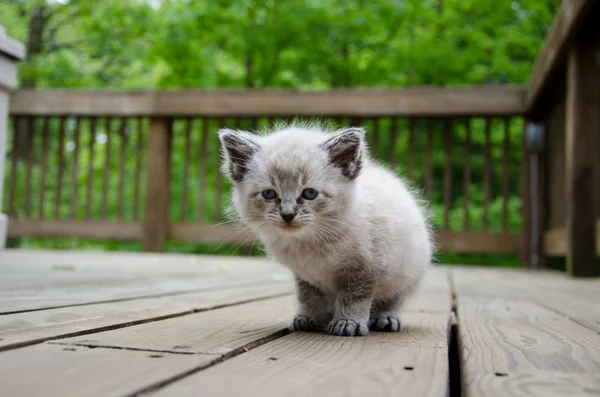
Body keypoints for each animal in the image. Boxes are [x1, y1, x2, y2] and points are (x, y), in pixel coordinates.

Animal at [218, 122, 434, 336]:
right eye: (269, 194)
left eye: (310, 193)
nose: (287, 214)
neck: (308, 242)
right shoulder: (306, 276)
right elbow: (308, 297)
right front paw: (308, 318)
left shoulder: (366, 268)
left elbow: (355, 298)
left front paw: (348, 322)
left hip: (406, 273)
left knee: (392, 301)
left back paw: (385, 318)